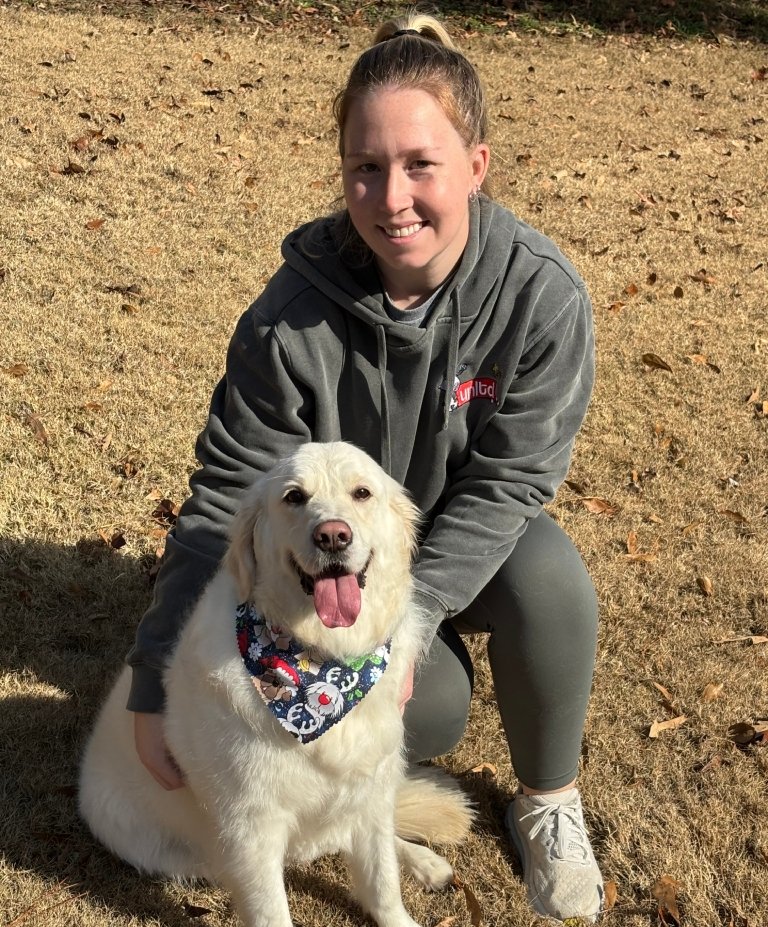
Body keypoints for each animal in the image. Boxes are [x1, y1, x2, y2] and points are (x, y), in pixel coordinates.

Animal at [79, 442, 474, 927]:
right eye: (294, 497)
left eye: (362, 492)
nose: (333, 536)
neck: (322, 659)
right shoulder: (251, 829)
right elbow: (273, 911)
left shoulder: (370, 784)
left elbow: (382, 885)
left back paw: (424, 861)